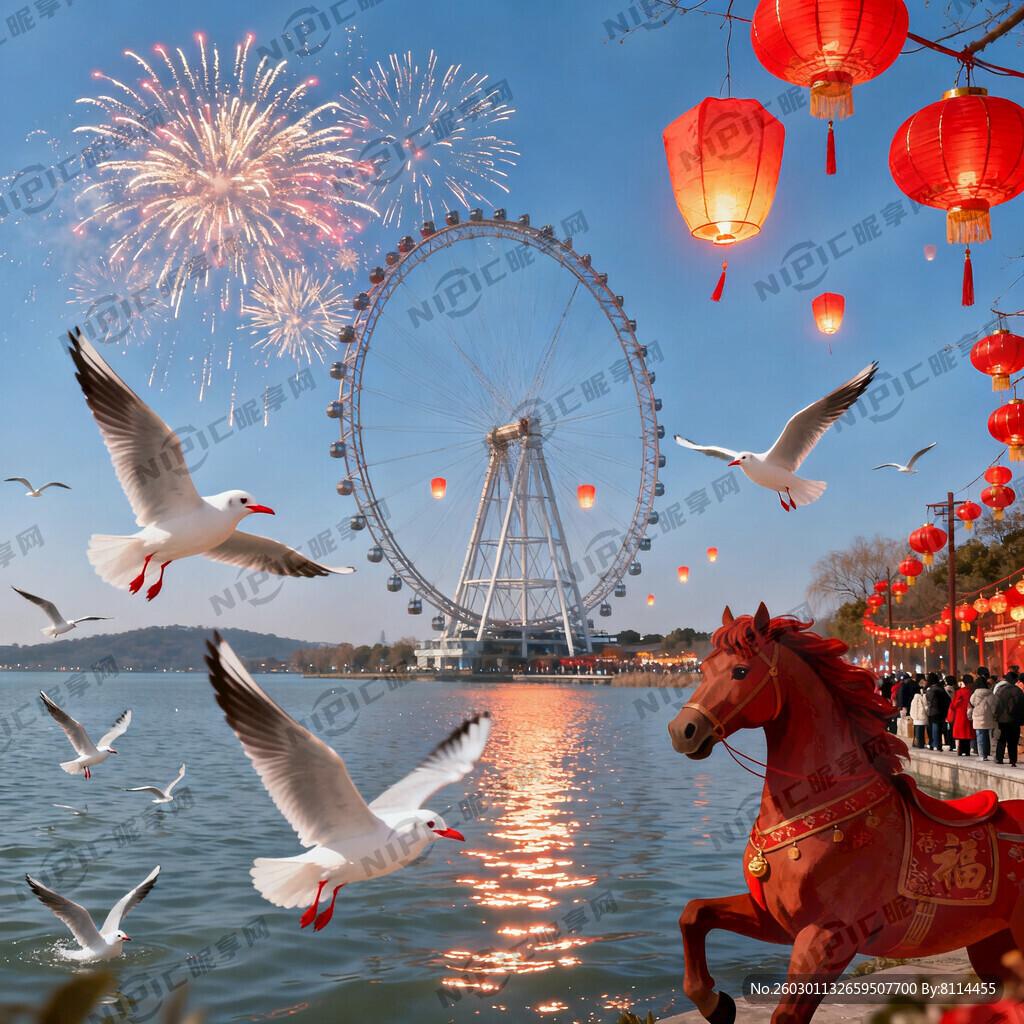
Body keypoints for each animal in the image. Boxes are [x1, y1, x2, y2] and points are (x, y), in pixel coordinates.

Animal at [668, 602, 1024, 1024]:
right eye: (704, 669)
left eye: (740, 671)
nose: (682, 730)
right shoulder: (775, 919)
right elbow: (693, 913)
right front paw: (716, 1003)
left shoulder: (829, 937)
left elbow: (785, 1016)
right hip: (992, 944)